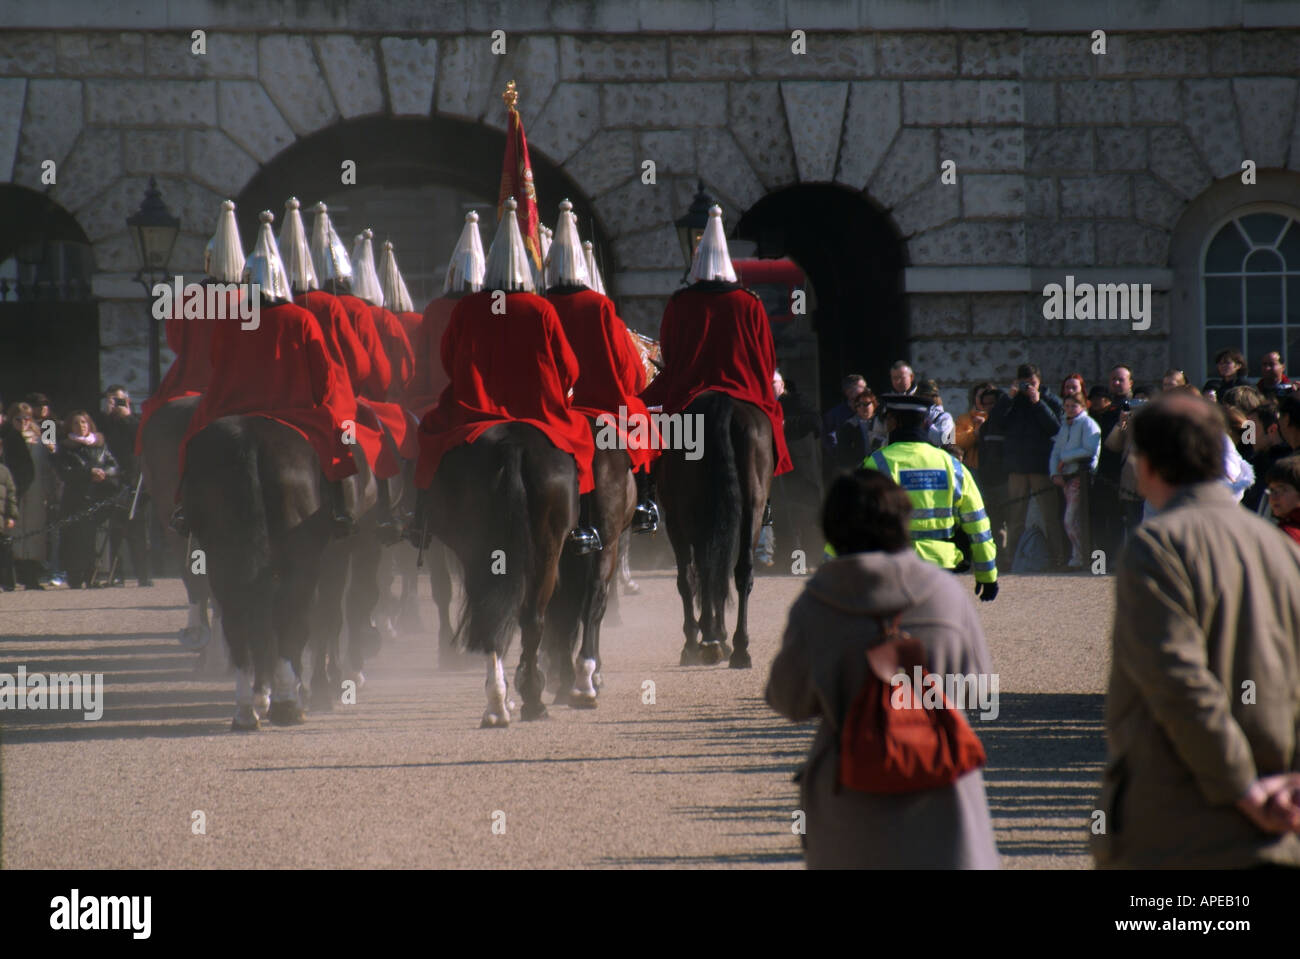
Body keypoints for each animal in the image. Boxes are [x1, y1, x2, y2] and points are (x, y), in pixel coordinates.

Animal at [418, 421, 577, 722]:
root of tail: (512, 445)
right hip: (545, 551)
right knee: (529, 620)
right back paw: (526, 699)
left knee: (495, 618)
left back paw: (500, 702)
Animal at [660, 389, 769, 665]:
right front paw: (717, 635)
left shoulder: (677, 523)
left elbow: (691, 577)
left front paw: (697, 638)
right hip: (750, 510)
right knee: (738, 571)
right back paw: (738, 647)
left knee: (707, 571)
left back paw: (710, 641)